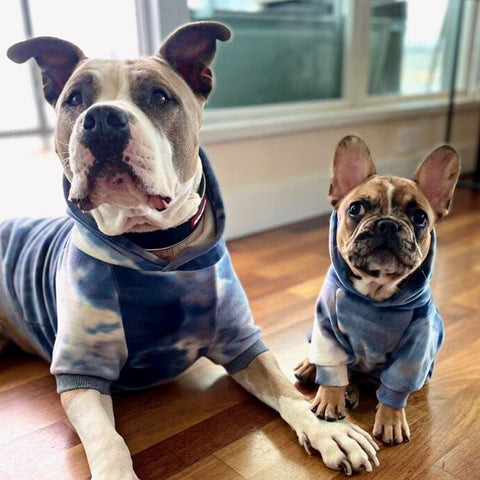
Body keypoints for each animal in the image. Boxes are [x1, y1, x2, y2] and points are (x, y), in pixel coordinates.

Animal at [1, 21, 378, 476]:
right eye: (75, 99)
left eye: (160, 97)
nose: (103, 118)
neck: (155, 243)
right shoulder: (81, 370)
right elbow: (107, 439)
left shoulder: (243, 343)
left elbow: (288, 393)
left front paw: (329, 430)